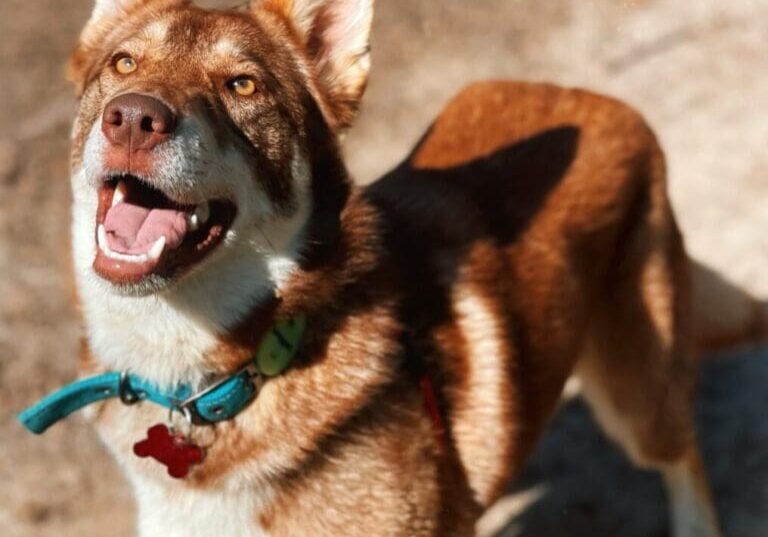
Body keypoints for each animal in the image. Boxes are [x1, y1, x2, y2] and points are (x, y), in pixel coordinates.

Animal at [21, 0, 764, 532]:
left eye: (243, 85)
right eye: (122, 64)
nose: (132, 118)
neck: (224, 378)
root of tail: (601, 99)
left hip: (635, 395)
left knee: (683, 450)